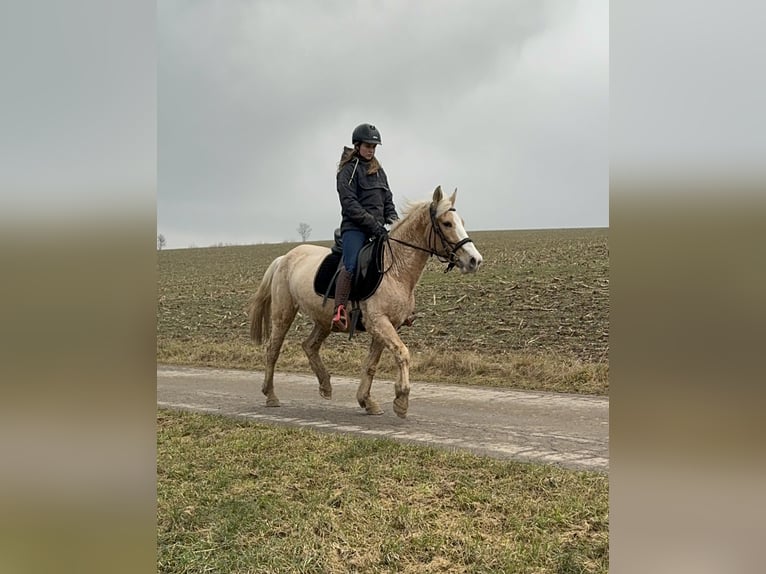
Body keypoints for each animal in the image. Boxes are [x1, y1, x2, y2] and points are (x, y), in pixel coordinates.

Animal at [249, 188, 484, 418]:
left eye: (462, 221)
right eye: (447, 223)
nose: (475, 260)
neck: (395, 268)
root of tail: (284, 257)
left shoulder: (387, 326)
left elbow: (372, 364)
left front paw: (367, 401)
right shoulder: (379, 322)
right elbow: (403, 353)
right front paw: (401, 399)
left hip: (324, 320)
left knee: (309, 346)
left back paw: (325, 386)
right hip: (283, 314)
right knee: (273, 350)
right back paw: (271, 395)